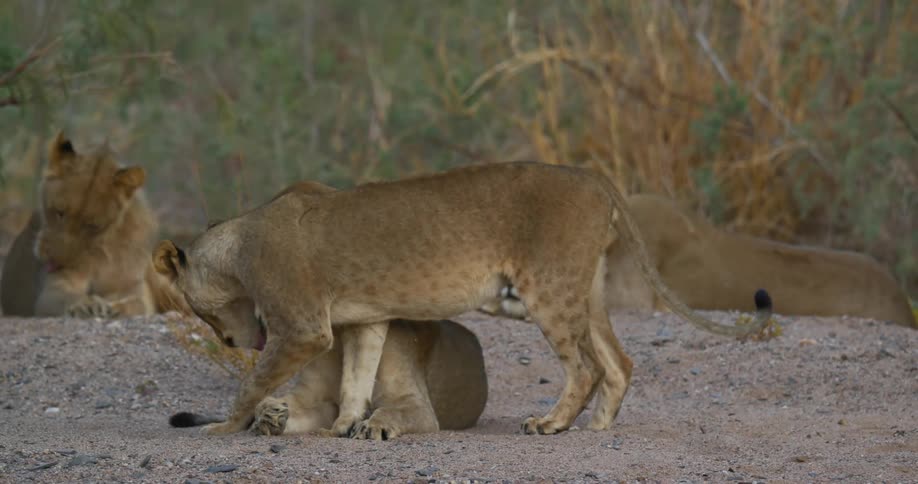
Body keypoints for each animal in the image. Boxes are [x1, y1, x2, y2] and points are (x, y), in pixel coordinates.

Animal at [0, 132, 189, 318]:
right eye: (59, 213)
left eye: (92, 226)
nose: (54, 261)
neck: (102, 251)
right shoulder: (51, 291)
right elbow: (67, 296)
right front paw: (87, 304)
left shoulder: (132, 288)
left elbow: (136, 304)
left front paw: (116, 307)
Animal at [170, 318, 488, 439]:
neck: (345, 340)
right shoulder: (321, 402)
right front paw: (269, 416)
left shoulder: (416, 405)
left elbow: (390, 411)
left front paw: (373, 426)